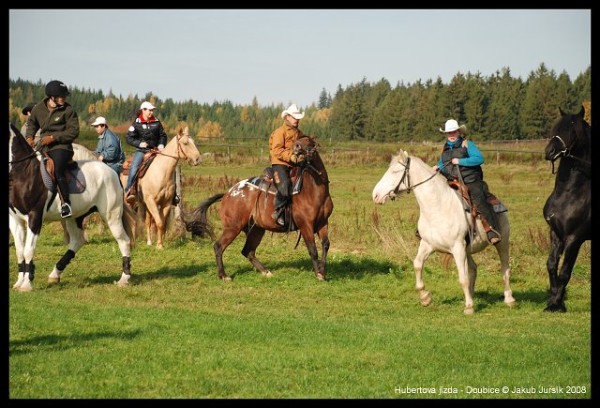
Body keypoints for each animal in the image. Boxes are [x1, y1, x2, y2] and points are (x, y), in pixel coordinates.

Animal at [182, 135, 332, 282]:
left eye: (308, 140)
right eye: (298, 140)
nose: (296, 147)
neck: (312, 190)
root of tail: (228, 194)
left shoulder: (322, 223)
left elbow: (325, 245)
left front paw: (322, 271)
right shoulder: (305, 225)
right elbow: (313, 249)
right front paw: (318, 274)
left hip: (256, 229)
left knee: (248, 251)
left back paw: (265, 272)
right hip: (233, 228)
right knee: (219, 247)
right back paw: (224, 275)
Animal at [370, 151, 516, 314]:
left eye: (395, 171)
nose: (375, 195)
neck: (438, 207)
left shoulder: (457, 248)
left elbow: (462, 278)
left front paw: (469, 307)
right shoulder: (428, 244)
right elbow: (417, 264)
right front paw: (425, 297)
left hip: (502, 243)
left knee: (505, 269)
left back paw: (509, 299)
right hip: (467, 250)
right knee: (473, 270)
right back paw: (471, 296)